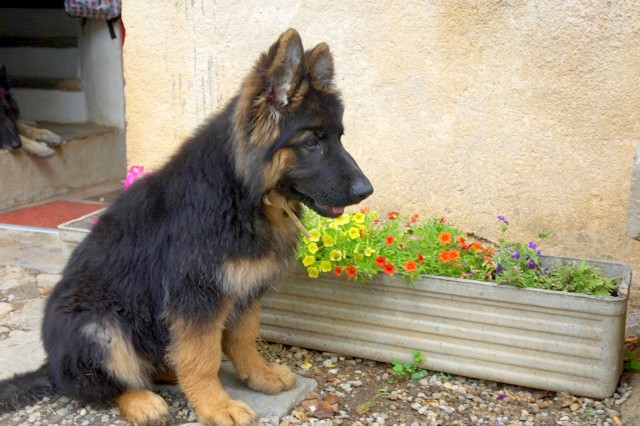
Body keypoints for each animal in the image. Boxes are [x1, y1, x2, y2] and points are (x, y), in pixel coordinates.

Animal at [0, 28, 372, 424]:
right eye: (312, 140)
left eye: (339, 137)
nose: (366, 190)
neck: (242, 192)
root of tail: (51, 367)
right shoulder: (196, 299)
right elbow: (202, 358)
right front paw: (216, 405)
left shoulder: (244, 289)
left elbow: (243, 339)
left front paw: (258, 375)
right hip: (98, 325)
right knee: (101, 384)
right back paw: (141, 400)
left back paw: (165, 371)